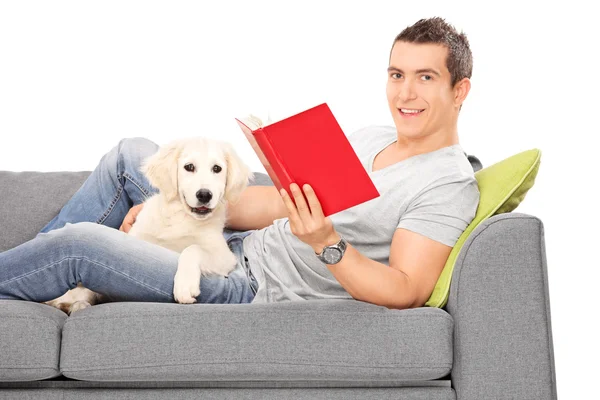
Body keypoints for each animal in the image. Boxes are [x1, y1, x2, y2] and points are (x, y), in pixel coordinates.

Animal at [45, 137, 252, 312]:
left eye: (217, 169)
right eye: (189, 167)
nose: (204, 195)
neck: (182, 218)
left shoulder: (225, 257)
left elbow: (193, 248)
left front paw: (185, 284)